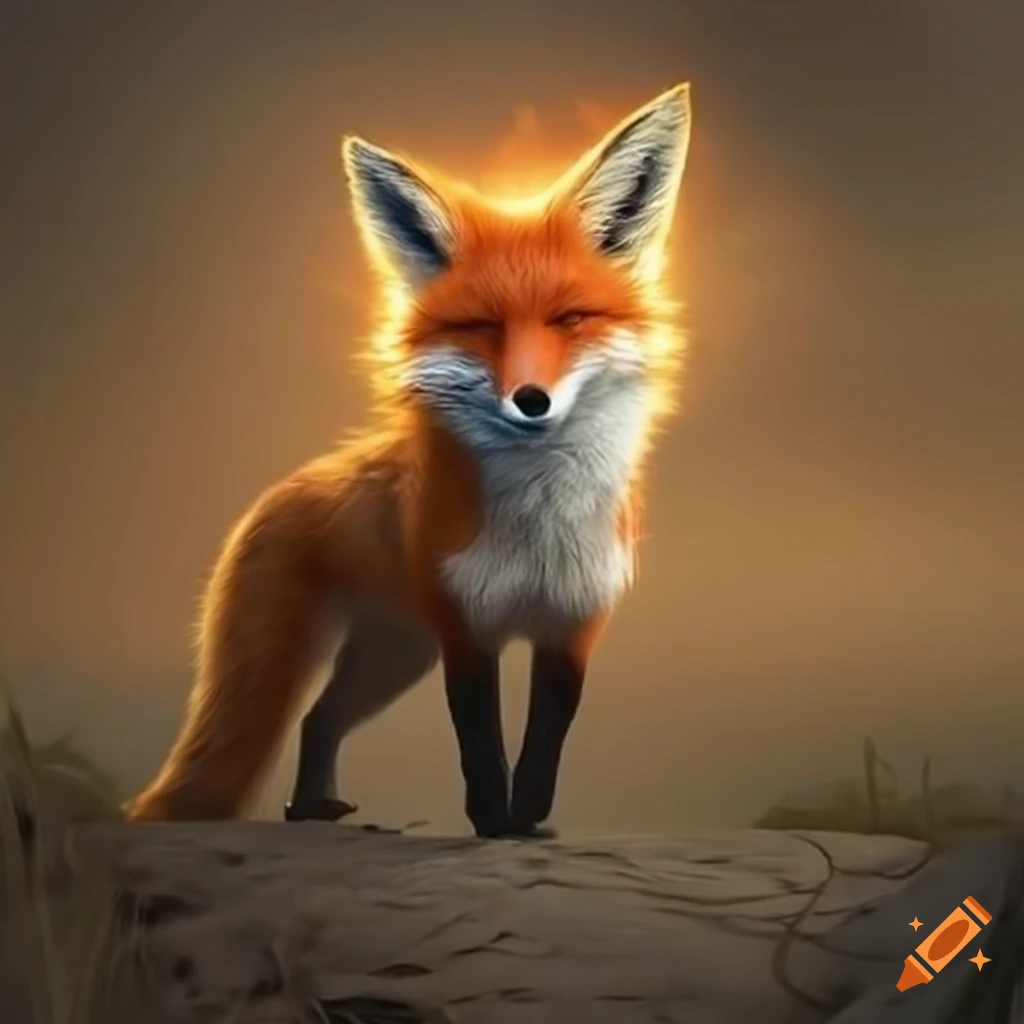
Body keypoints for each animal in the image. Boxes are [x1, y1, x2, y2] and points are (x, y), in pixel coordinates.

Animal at [124, 83, 692, 838]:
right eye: (481, 327)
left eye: (570, 319)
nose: (531, 400)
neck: (538, 522)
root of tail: (283, 488)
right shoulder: (464, 624)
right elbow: (478, 736)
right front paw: (492, 822)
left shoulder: (573, 620)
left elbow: (547, 734)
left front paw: (527, 818)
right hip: (339, 656)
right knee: (299, 718)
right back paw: (303, 810)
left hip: (393, 656)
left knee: (319, 717)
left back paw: (311, 807)